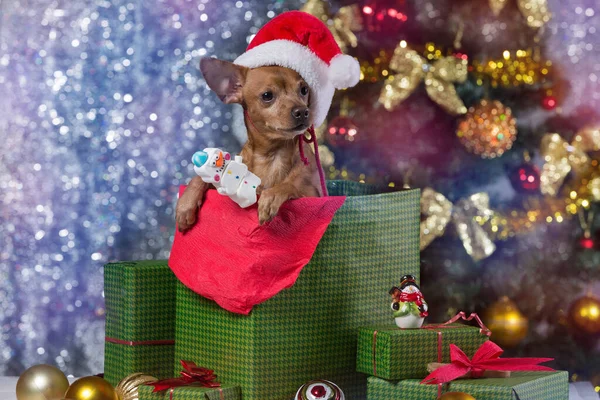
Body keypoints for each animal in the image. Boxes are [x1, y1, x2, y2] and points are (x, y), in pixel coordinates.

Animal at [175, 57, 324, 230]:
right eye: (267, 95)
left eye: (304, 90)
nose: (303, 111)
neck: (272, 155)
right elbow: (198, 178)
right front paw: (185, 204)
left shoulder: (314, 194)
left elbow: (289, 186)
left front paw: (272, 195)